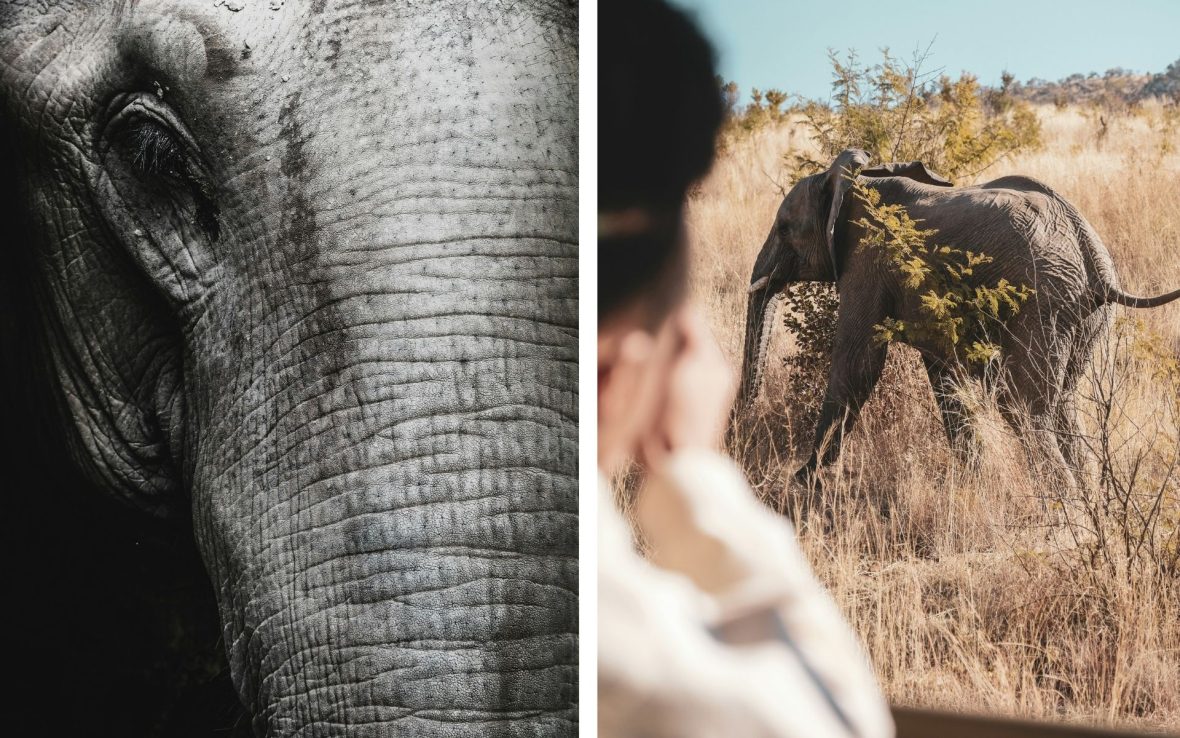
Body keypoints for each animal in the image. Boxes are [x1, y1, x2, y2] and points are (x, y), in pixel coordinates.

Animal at [736, 147, 1180, 486]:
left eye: (784, 228)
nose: (737, 436)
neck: (851, 184)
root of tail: (1093, 256)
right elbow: (942, 373)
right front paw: (973, 479)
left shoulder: (868, 261)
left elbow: (858, 364)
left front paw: (802, 480)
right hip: (1081, 314)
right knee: (1063, 400)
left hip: (1044, 301)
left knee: (1022, 404)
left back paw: (1062, 510)